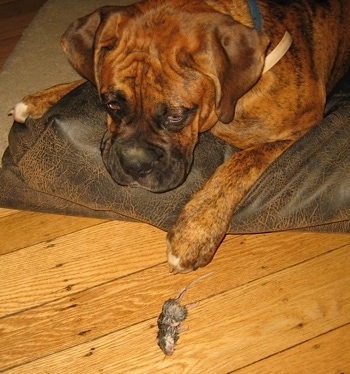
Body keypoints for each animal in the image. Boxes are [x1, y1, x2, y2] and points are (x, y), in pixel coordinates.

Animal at [10, 0, 350, 274]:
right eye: (111, 104)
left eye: (176, 116)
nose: (135, 165)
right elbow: (84, 79)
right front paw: (40, 98)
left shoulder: (302, 126)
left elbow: (241, 162)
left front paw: (194, 231)